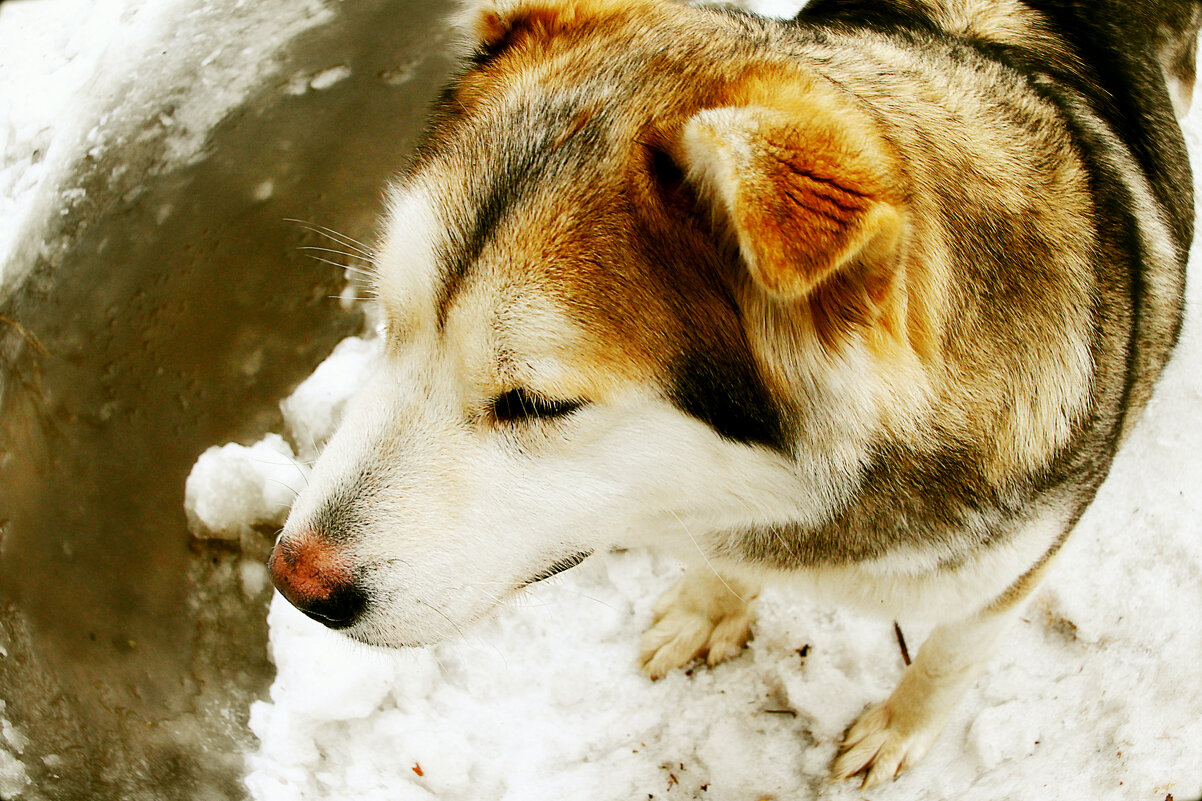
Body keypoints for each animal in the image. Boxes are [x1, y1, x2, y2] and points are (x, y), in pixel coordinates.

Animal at [270, 0, 1202, 784]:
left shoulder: (1008, 577)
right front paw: (710, 605)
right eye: (391, 324)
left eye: (537, 403)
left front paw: (899, 727)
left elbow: (945, 660)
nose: (294, 582)